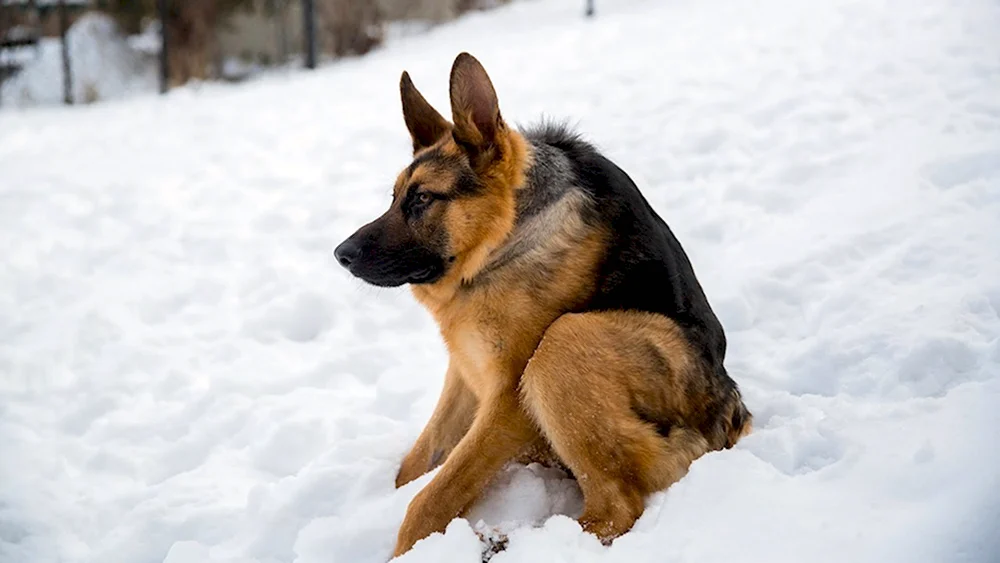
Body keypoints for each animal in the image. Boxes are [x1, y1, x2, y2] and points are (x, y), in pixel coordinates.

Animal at [336, 54, 752, 560]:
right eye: (395, 198)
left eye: (422, 199)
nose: (340, 254)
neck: (506, 237)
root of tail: (729, 418)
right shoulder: (465, 372)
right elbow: (415, 467)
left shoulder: (508, 401)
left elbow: (430, 498)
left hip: (565, 343)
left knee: (616, 506)